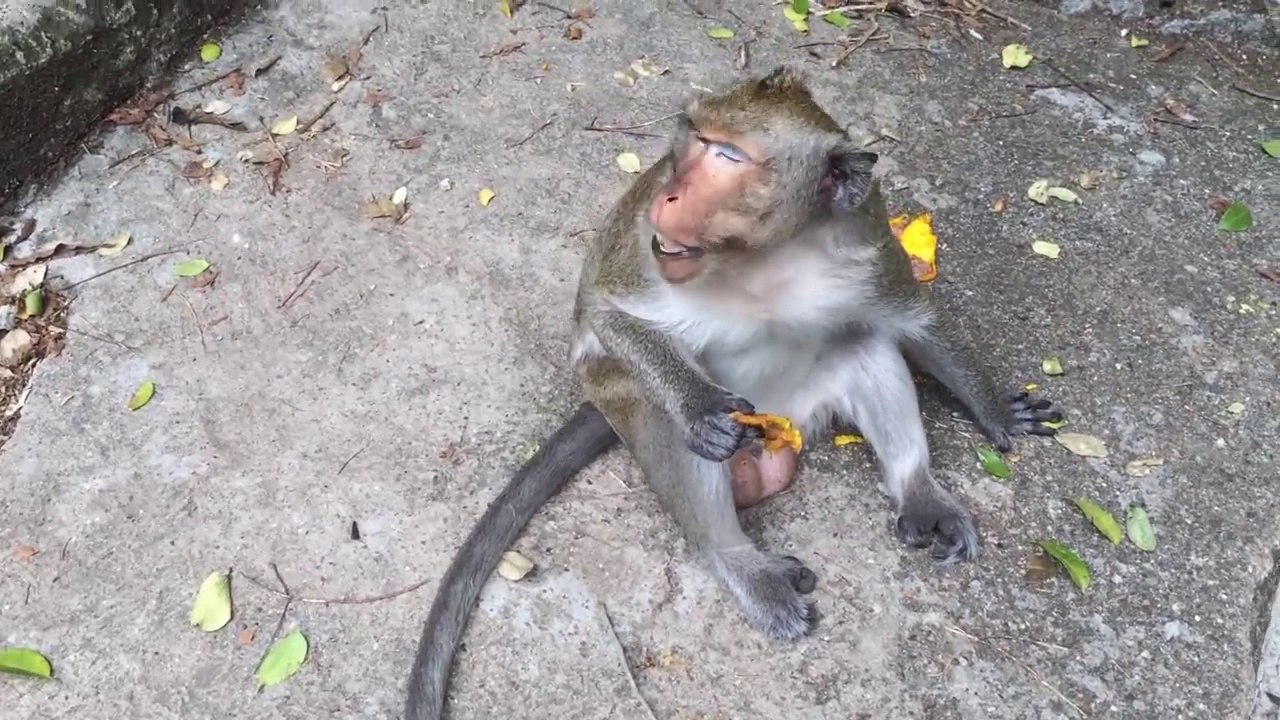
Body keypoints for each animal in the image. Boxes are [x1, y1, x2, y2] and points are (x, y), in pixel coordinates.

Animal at [404, 66, 1061, 719]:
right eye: (695, 138)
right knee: (665, 421)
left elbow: (913, 321)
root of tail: (785, 421)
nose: (670, 195)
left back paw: (919, 491)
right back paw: (740, 559)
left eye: (729, 155)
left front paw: (995, 410)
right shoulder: (640, 253)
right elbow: (608, 317)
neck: (761, 257)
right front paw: (699, 408)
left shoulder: (866, 229)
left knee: (865, 341)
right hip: (634, 400)